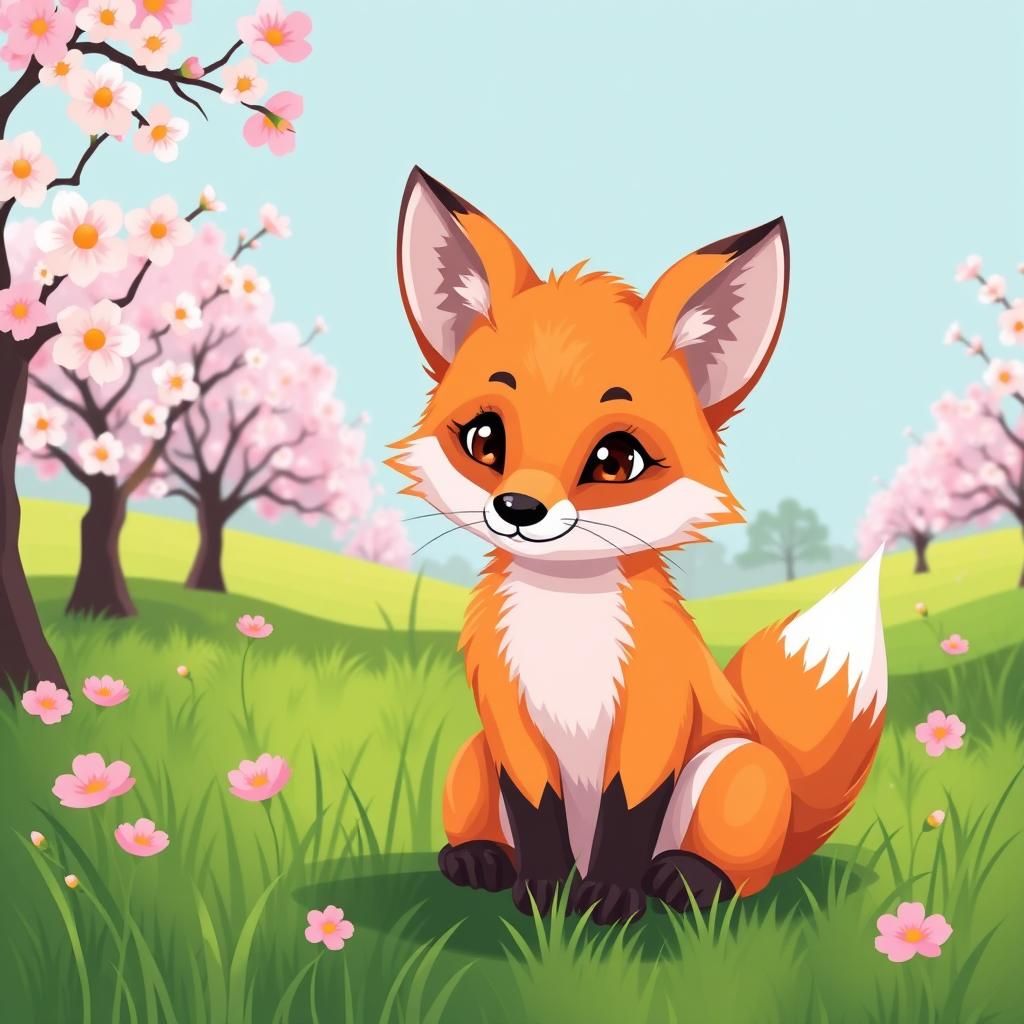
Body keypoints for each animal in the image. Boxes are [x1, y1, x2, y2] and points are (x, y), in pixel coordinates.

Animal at [389, 167, 888, 926]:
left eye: (616, 460)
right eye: (484, 439)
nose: (517, 509)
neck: (566, 626)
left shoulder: (656, 713)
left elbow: (629, 810)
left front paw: (609, 899)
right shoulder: (509, 721)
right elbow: (535, 811)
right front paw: (545, 893)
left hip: (734, 768)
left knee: (736, 873)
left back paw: (688, 880)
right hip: (475, 755)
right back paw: (478, 859)